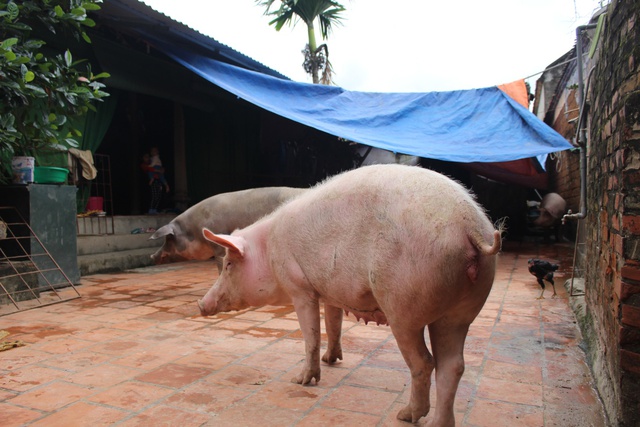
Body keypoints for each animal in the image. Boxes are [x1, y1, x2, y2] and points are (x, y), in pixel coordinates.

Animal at [198, 165, 502, 427]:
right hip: (461, 312)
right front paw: (330, 360)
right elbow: (333, 325)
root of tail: (470, 228)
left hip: (404, 307)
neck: (268, 250)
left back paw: (405, 416)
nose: (201, 304)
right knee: (453, 366)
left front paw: (301, 380)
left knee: (424, 362)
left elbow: (310, 335)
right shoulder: (330, 293)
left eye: (228, 265)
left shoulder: (300, 288)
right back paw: (437, 423)